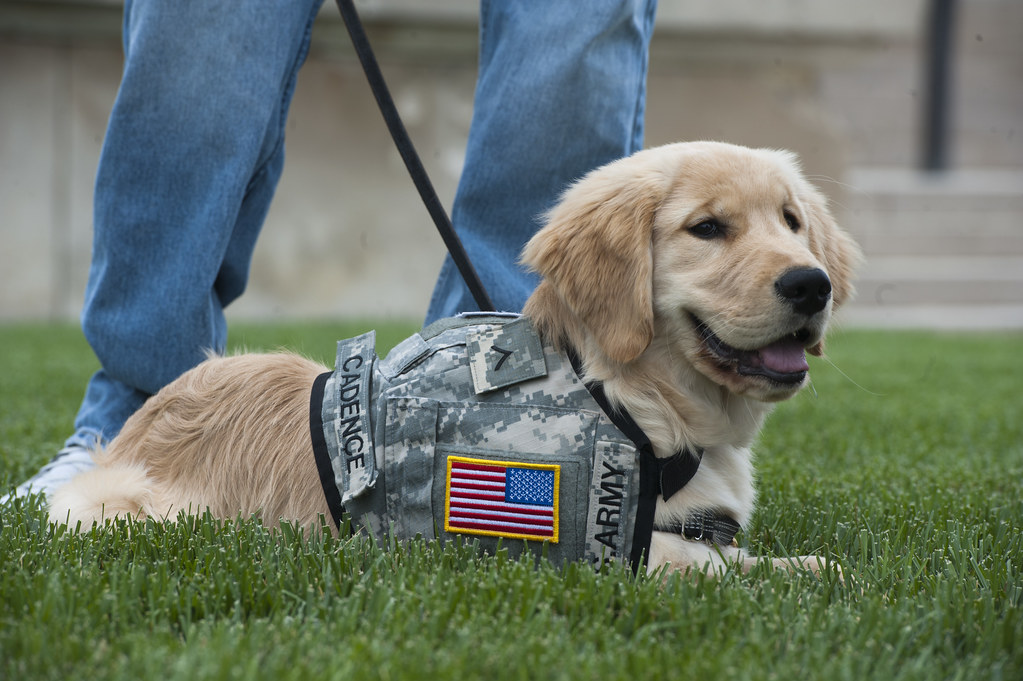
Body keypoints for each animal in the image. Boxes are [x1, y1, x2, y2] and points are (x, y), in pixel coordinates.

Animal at [51, 140, 859, 576]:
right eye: (707, 228)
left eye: (791, 221)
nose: (810, 283)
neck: (634, 399)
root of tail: (133, 429)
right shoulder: (610, 556)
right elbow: (731, 571)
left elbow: (789, 563)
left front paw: (817, 566)